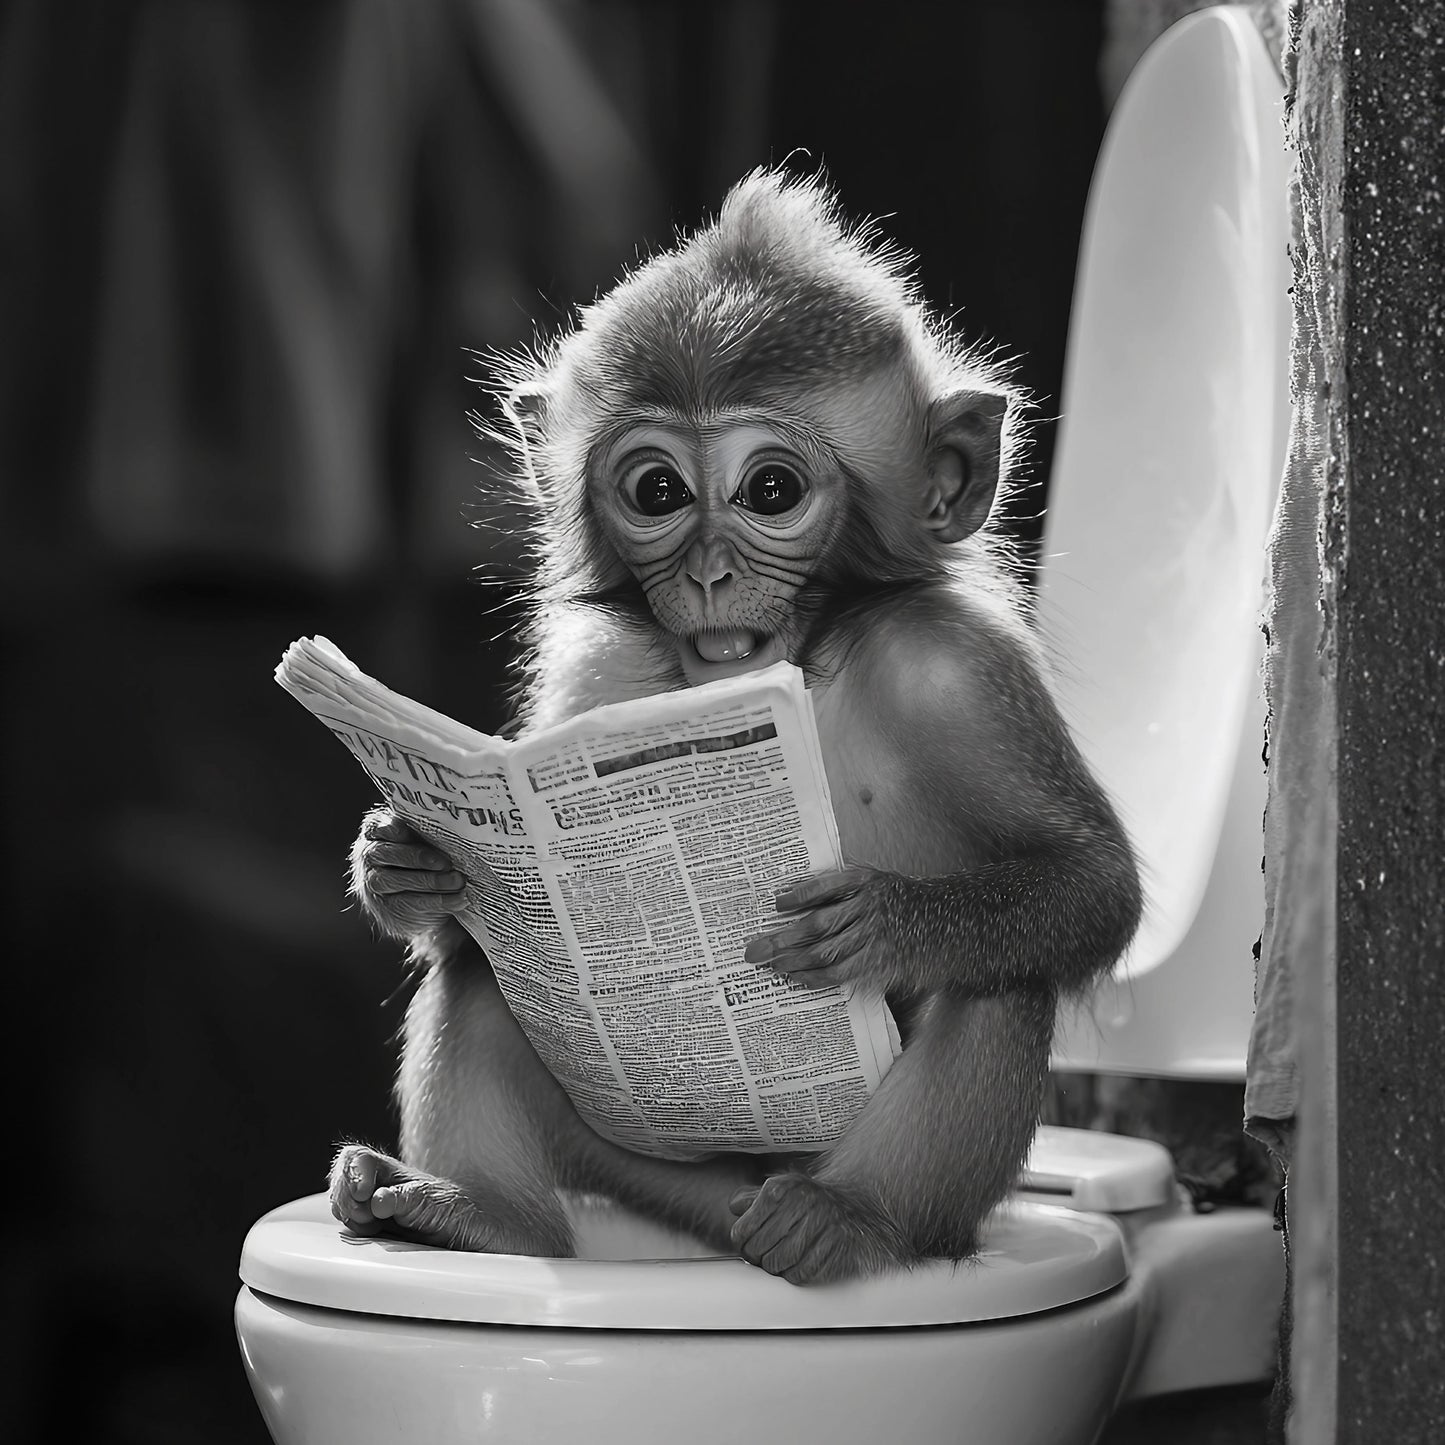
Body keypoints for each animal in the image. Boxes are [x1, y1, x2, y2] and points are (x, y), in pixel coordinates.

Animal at [330, 168, 1142, 1286]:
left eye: (770, 489)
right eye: (657, 490)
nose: (710, 573)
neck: (803, 662)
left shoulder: (960, 671)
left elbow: (1091, 883)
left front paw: (882, 920)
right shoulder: (598, 674)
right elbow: (477, 916)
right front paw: (402, 860)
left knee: (999, 980)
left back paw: (849, 1220)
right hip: (652, 1162)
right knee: (487, 972)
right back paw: (480, 1215)